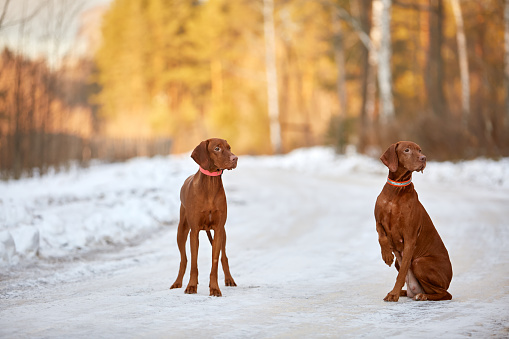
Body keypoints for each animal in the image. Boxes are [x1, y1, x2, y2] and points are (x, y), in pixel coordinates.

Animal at [169, 138, 236, 298]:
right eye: (217, 148)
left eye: (229, 148)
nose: (235, 158)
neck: (210, 185)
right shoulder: (194, 232)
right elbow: (194, 262)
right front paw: (191, 286)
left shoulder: (218, 230)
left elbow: (215, 262)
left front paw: (215, 288)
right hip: (181, 231)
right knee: (184, 259)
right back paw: (177, 282)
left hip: (223, 233)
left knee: (224, 257)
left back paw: (229, 279)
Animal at [374, 141, 452, 302]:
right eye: (407, 150)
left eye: (420, 150)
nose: (424, 158)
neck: (396, 191)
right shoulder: (378, 220)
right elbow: (381, 236)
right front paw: (387, 255)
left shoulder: (409, 237)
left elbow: (403, 272)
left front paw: (394, 294)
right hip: (402, 263)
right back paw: (406, 292)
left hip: (419, 262)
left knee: (445, 294)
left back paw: (422, 295)